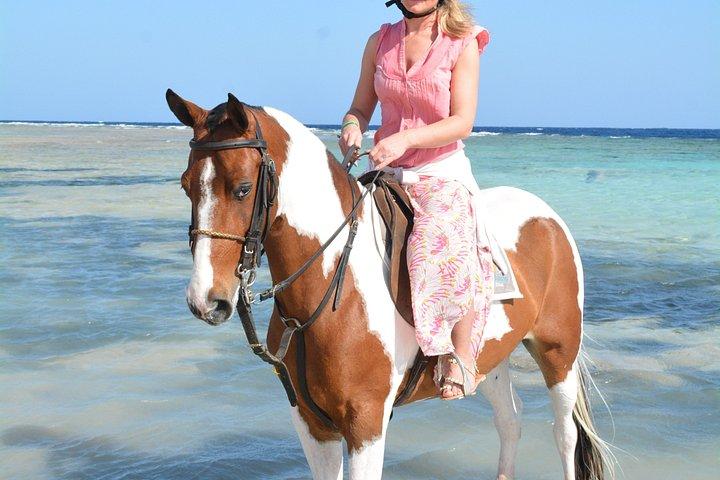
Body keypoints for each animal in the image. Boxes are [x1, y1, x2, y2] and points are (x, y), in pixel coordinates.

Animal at [165, 89, 613, 480]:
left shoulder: (366, 423)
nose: (205, 301)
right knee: (510, 421)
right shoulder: (312, 424)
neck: (331, 290)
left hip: (558, 351)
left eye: (242, 188)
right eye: (186, 185)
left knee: (565, 433)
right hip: (490, 358)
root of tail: (547, 216)